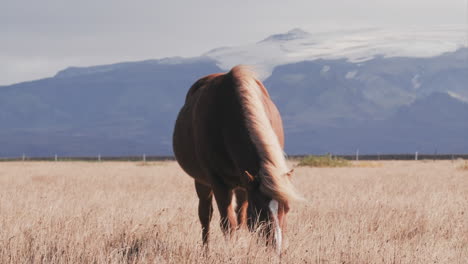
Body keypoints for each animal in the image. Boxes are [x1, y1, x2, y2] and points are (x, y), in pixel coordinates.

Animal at [173, 65, 300, 253]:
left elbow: (241, 219)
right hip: (203, 182)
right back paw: (206, 250)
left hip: (242, 184)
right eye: (259, 209)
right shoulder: (218, 183)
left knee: (240, 215)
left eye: (288, 208)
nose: (276, 249)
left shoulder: (248, 183)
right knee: (205, 215)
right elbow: (227, 222)